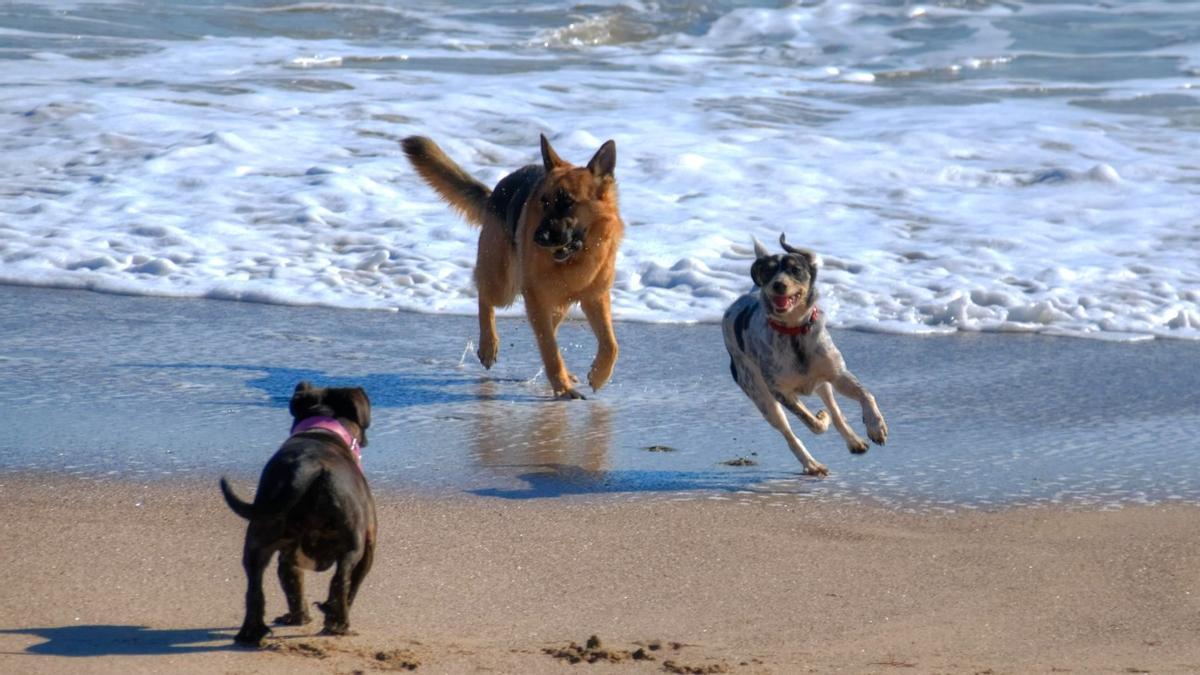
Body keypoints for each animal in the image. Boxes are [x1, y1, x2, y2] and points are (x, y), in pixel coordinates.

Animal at [219, 381, 374, 643]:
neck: (322, 430)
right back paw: (338, 624)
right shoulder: (369, 545)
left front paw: (298, 617)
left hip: (261, 535)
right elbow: (353, 585)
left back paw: (251, 631)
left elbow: (292, 581)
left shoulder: (288, 552)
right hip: (352, 544)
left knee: (255, 584)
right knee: (341, 580)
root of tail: (306, 468)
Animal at [403, 132, 628, 396]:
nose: (538, 238)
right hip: (504, 286)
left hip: (552, 303)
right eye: (544, 202)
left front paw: (599, 375)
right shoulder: (537, 299)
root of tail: (496, 191)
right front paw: (562, 387)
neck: (576, 257)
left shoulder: (595, 298)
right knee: (484, 294)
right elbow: (550, 349)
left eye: (568, 202)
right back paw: (488, 345)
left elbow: (611, 344)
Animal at [715, 234, 888, 475]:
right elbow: (811, 422)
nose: (779, 284)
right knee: (788, 432)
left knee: (835, 410)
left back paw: (854, 441)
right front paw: (820, 420)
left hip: (823, 382)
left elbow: (866, 395)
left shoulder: (837, 374)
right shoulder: (780, 392)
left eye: (795, 269)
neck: (794, 330)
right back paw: (811, 464)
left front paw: (876, 427)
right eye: (768, 271)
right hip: (760, 395)